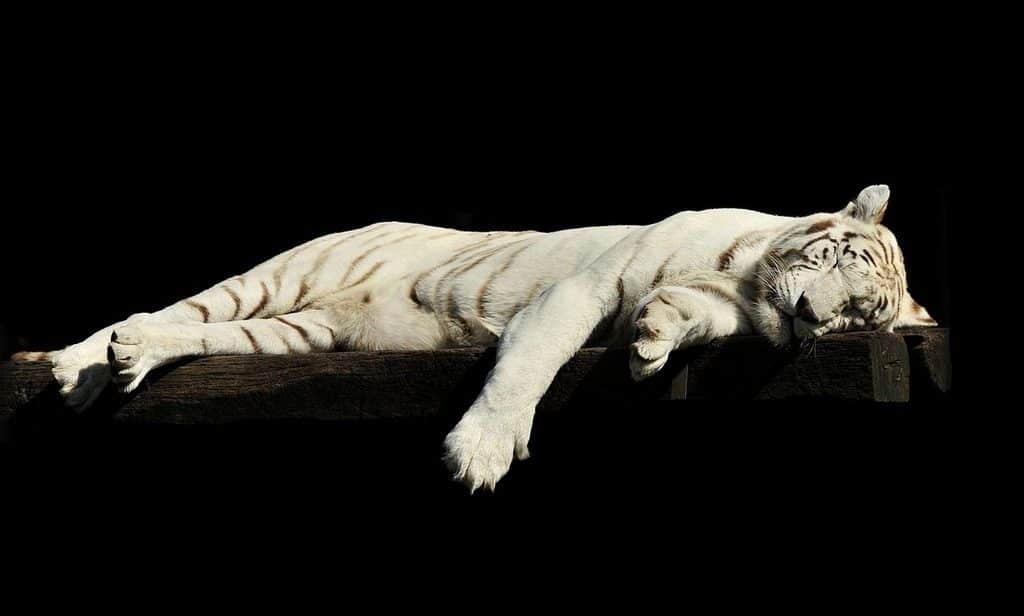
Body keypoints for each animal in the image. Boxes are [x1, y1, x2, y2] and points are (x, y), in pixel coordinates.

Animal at [14, 184, 936, 491]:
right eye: (839, 261)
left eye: (861, 316)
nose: (814, 317)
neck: (746, 283)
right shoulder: (582, 287)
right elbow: (529, 364)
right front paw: (482, 452)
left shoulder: (733, 310)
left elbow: (684, 314)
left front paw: (651, 340)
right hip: (277, 279)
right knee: (174, 308)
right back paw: (76, 364)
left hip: (294, 332)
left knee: (200, 336)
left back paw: (131, 359)